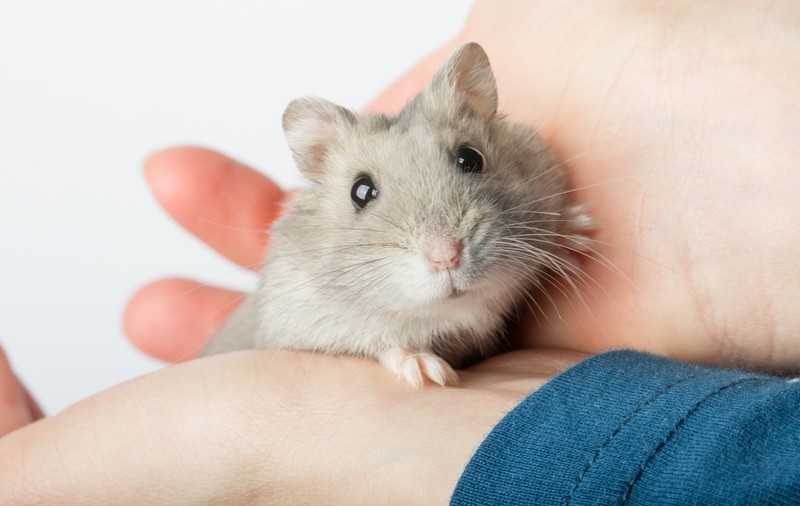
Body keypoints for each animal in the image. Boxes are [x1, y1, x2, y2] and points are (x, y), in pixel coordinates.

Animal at [199, 42, 594, 387]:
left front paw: (581, 232)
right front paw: (428, 373)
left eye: (471, 158)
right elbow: (382, 343)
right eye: (361, 192)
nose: (446, 257)